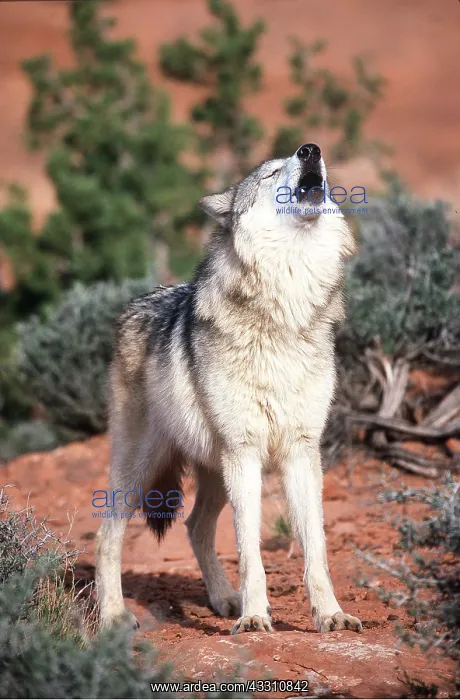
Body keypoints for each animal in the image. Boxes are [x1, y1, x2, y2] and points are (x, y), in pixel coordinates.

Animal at [96, 143, 362, 635]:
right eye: (272, 172)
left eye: (304, 157)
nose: (310, 150)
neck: (285, 313)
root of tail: (132, 306)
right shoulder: (245, 450)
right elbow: (249, 550)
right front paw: (255, 617)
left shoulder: (301, 450)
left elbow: (315, 549)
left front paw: (330, 614)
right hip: (142, 469)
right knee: (108, 536)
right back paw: (113, 616)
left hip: (215, 472)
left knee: (195, 528)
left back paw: (222, 599)